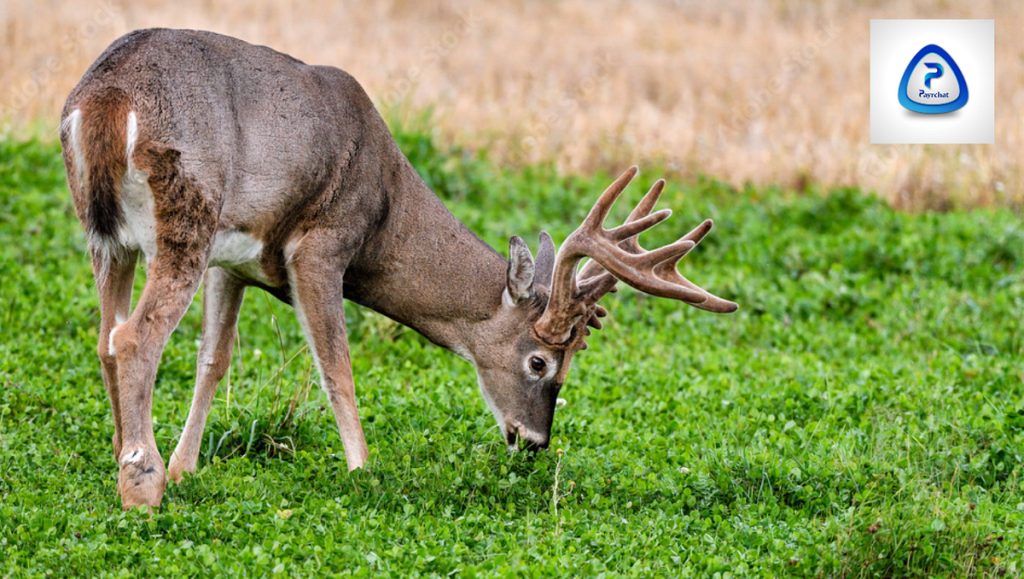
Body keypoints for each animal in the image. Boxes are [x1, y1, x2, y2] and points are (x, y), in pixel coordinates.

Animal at [59, 28, 738, 511]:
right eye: (541, 363)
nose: (533, 442)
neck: (384, 210)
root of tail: (105, 99)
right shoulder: (320, 245)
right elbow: (337, 367)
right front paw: (364, 472)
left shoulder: (237, 258)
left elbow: (213, 360)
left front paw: (186, 467)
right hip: (186, 215)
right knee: (134, 337)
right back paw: (142, 488)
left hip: (111, 235)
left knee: (105, 336)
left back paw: (126, 458)